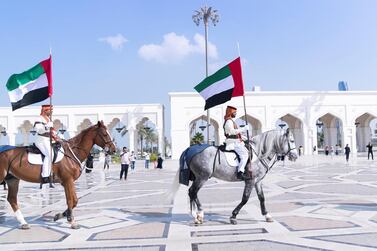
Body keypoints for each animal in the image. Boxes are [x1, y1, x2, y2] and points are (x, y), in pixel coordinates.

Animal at [167, 128, 296, 225]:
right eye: (292, 140)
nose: (295, 156)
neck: (258, 153)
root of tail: (190, 149)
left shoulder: (257, 181)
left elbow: (262, 198)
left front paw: (267, 215)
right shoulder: (250, 181)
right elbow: (245, 199)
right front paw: (233, 216)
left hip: (198, 178)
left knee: (192, 193)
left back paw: (196, 216)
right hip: (202, 177)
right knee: (193, 192)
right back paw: (198, 215)